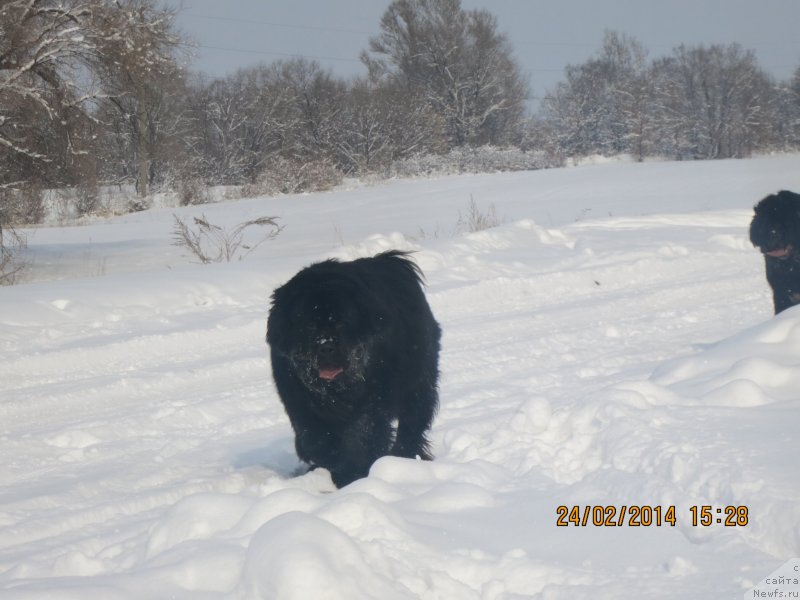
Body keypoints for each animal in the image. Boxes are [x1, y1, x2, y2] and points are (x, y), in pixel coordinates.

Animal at [266, 250, 440, 488]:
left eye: (341, 322)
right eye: (308, 325)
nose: (326, 346)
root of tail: (391, 260)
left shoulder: (374, 396)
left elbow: (362, 434)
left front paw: (352, 473)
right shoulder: (295, 397)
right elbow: (313, 437)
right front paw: (328, 463)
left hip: (417, 382)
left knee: (412, 424)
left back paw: (401, 459)